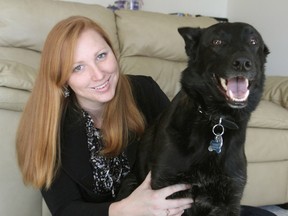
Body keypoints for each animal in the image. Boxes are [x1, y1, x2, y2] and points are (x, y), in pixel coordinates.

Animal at [116, 22, 268, 216]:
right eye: (217, 42)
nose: (243, 63)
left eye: (253, 41)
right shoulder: (166, 191)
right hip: (130, 183)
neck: (216, 120)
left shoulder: (229, 200)